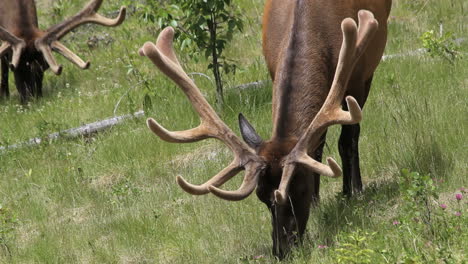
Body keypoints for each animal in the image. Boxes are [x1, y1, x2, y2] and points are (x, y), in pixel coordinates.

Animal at [139, 0, 392, 260]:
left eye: (299, 191)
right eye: (262, 198)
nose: (281, 251)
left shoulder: (358, 77)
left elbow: (348, 139)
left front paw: (355, 191)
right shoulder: (272, 66)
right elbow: (317, 148)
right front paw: (317, 202)